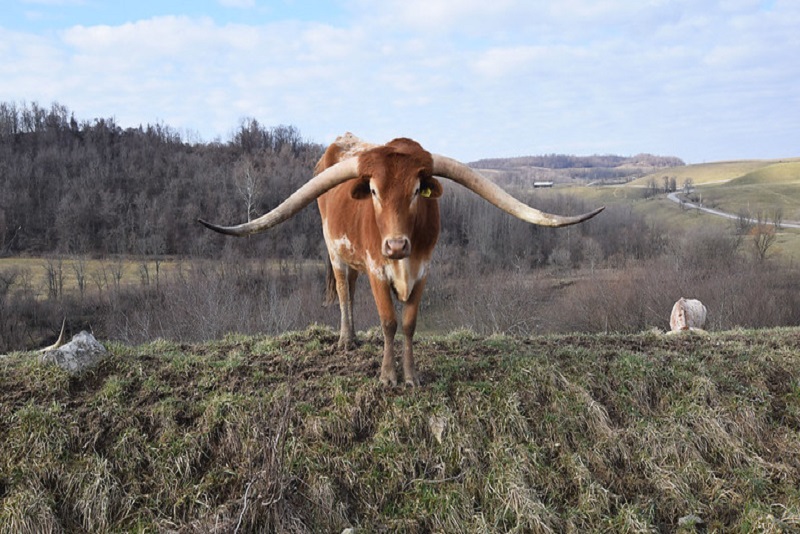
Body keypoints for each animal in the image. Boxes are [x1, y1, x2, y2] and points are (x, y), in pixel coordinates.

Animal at [200, 133, 604, 386]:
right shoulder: (378, 270)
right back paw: (346, 339)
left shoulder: (423, 270)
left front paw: (411, 376)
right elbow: (389, 322)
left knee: (352, 288)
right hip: (335, 251)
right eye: (374, 191)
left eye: (416, 190)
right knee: (344, 290)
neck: (401, 263)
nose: (395, 246)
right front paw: (387, 376)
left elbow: (408, 324)